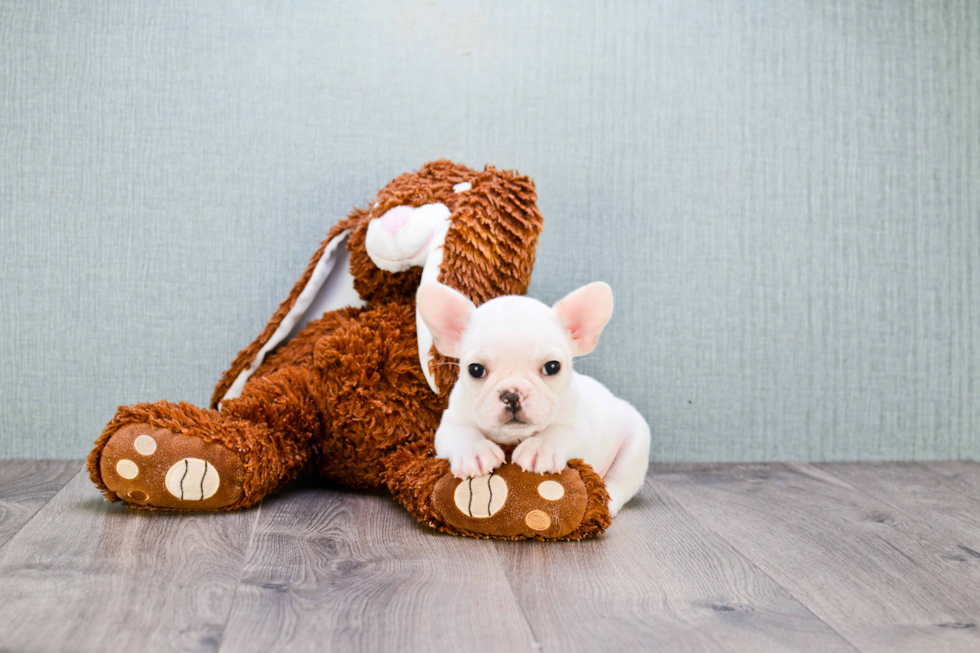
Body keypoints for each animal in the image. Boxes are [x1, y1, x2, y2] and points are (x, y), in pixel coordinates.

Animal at [416, 280, 652, 516]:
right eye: (475, 370)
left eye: (552, 367)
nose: (512, 395)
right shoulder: (450, 424)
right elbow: (462, 434)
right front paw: (475, 452)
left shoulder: (577, 427)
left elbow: (557, 432)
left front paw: (539, 448)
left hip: (635, 444)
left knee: (620, 482)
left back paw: (605, 503)